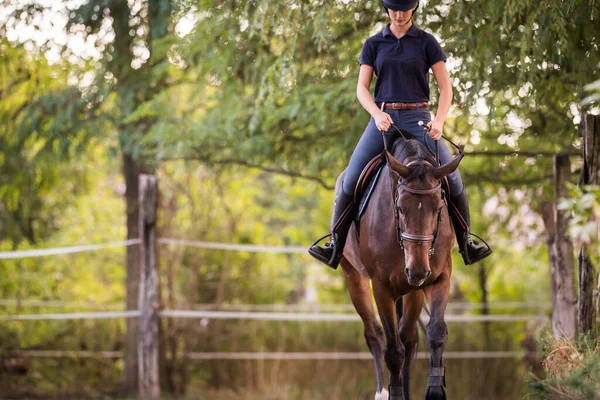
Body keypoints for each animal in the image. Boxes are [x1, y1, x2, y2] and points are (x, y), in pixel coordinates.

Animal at [338, 138, 464, 400]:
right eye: (400, 207)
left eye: (439, 208)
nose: (417, 271)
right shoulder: (382, 287)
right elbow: (393, 351)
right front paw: (394, 394)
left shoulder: (440, 278)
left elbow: (436, 333)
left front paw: (435, 391)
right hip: (354, 277)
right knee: (375, 334)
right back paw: (381, 392)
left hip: (412, 292)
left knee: (408, 340)